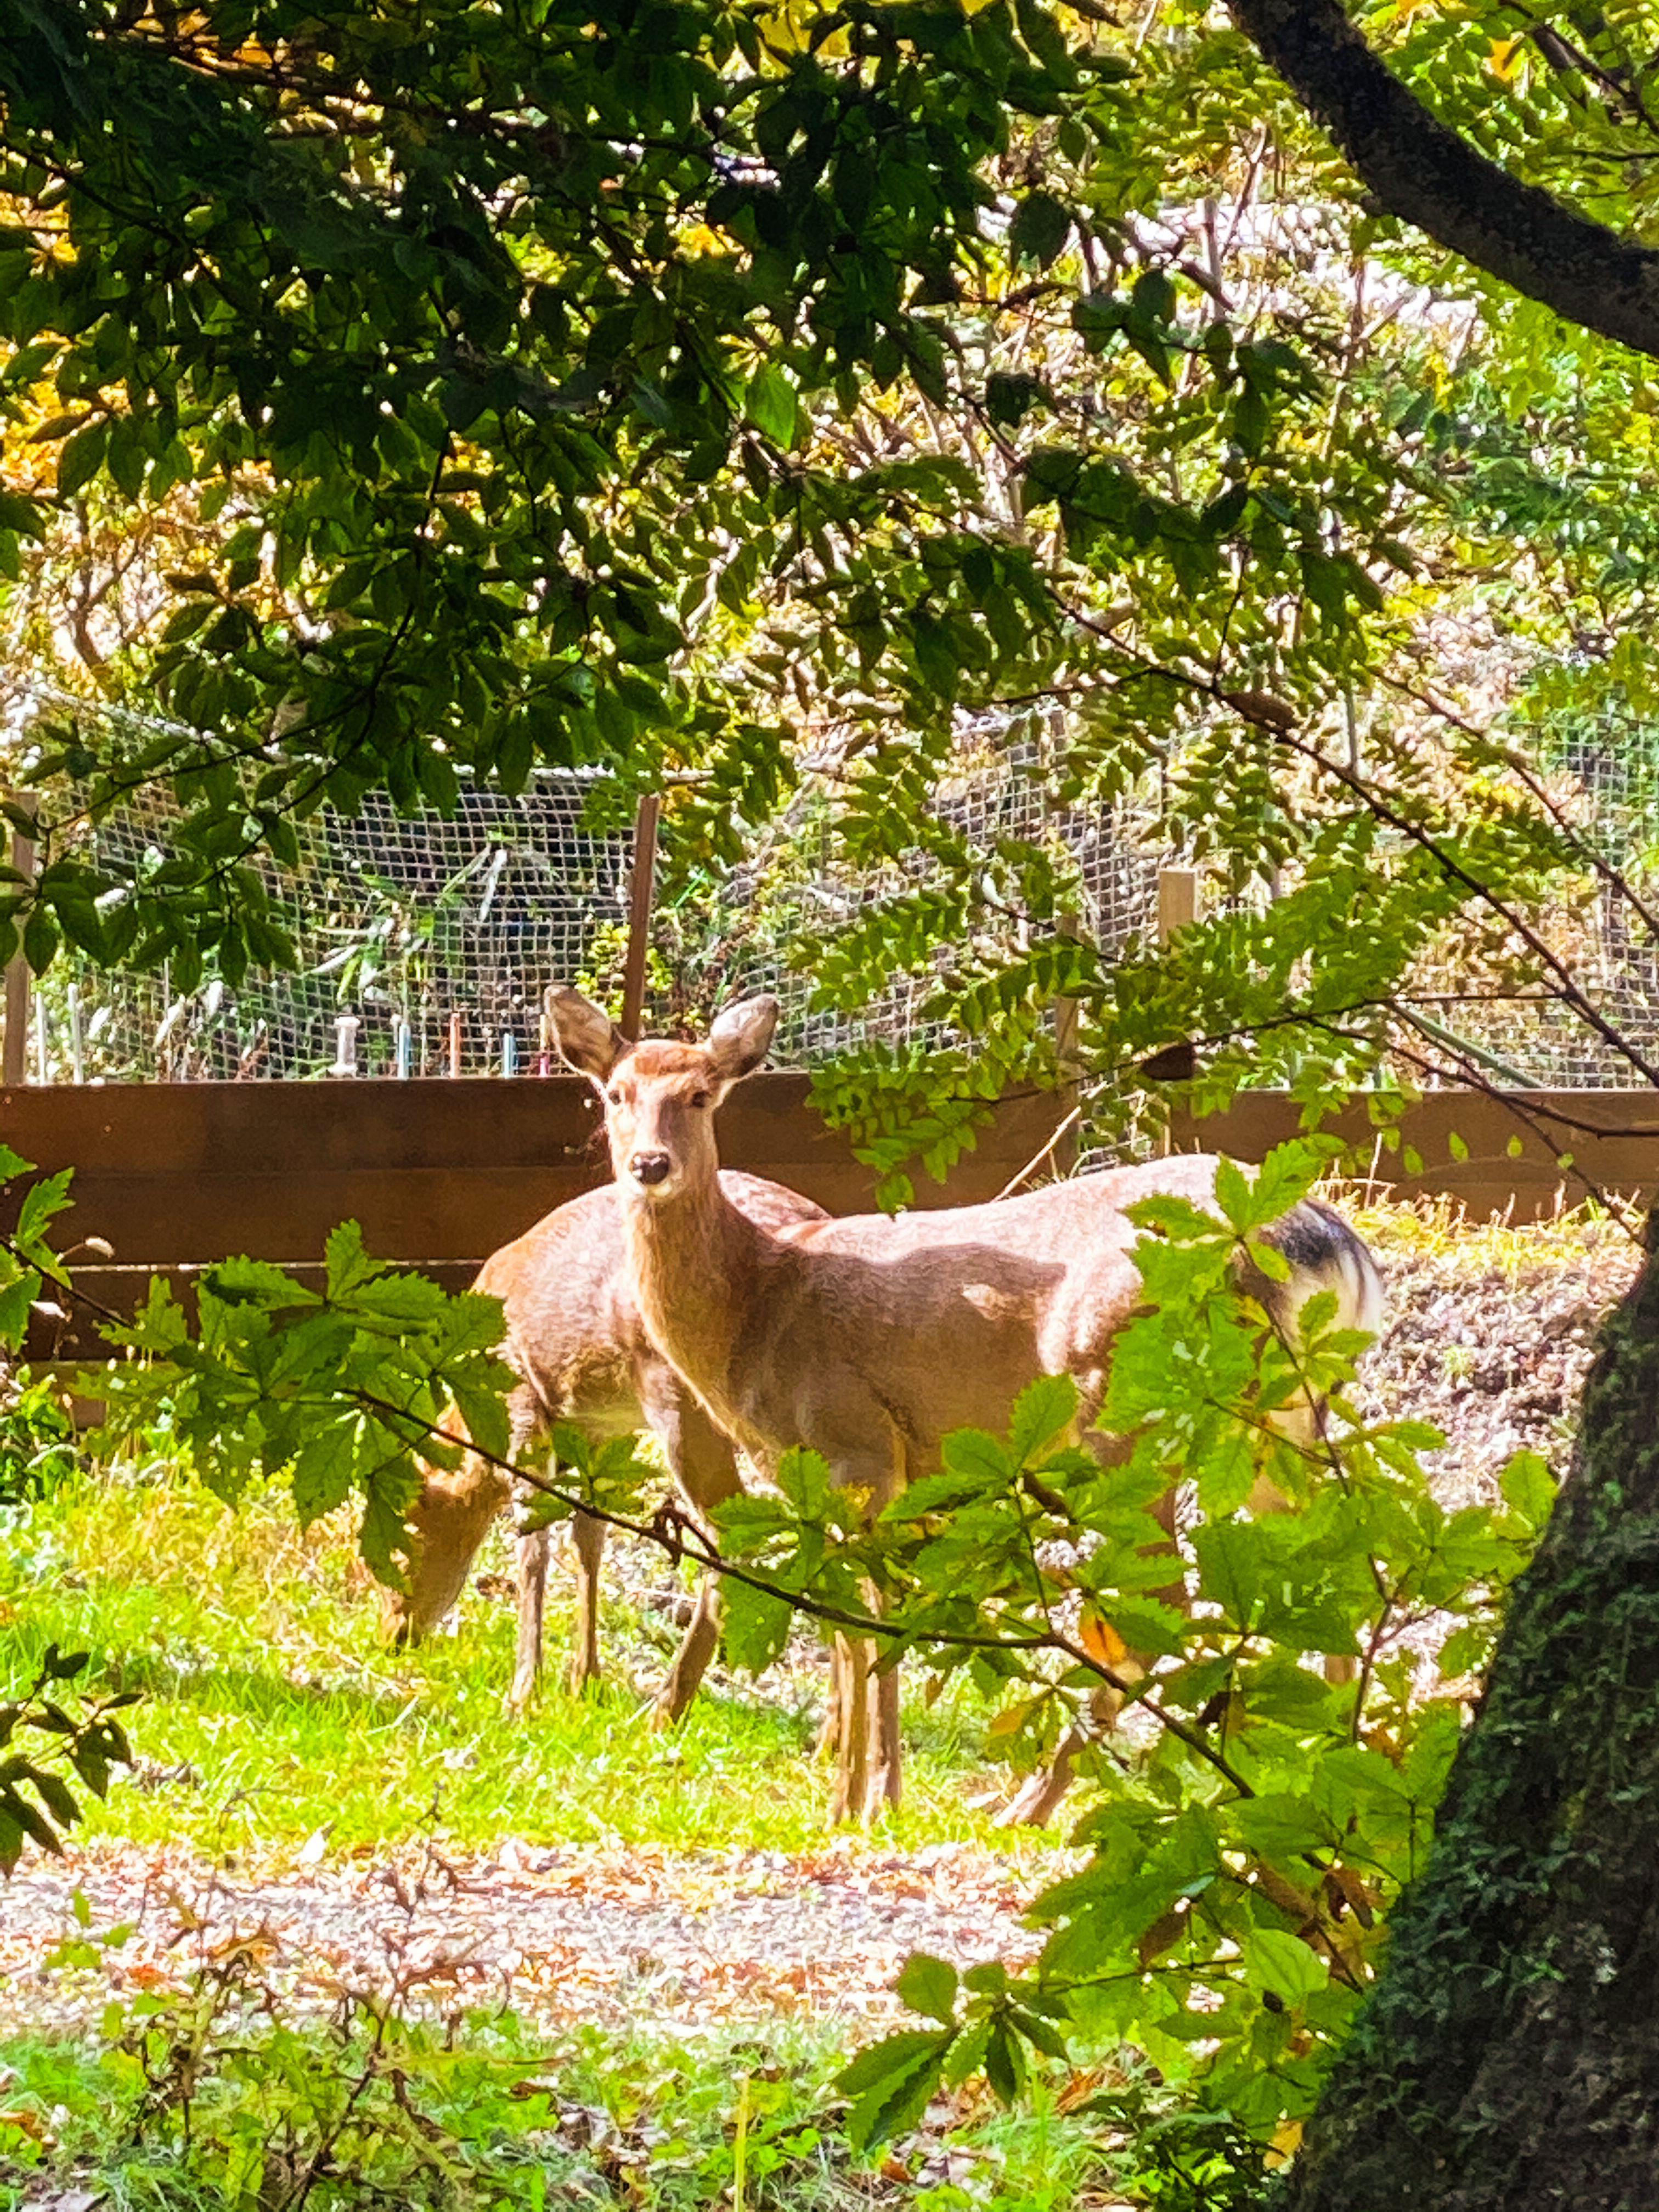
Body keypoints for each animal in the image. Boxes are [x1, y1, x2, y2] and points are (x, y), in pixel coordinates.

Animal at [389, 1177, 832, 1707]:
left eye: (404, 1540)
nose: (394, 1634)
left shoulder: (521, 1398)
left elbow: (533, 1540)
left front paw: (525, 1692)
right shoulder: (601, 1429)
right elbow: (589, 1534)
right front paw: (584, 1681)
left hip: (681, 1398)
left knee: (728, 1536)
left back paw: (670, 1703)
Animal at [548, 995, 1389, 1822]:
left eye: (700, 1094)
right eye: (614, 1094)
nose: (649, 1165)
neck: (755, 1308)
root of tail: (1328, 1242)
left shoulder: (856, 1439)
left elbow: (867, 1617)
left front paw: (861, 1803)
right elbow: (862, 1617)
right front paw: (863, 1793)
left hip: (1138, 1409)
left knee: (1161, 1606)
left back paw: (1030, 1804)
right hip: (1283, 1425)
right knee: (1339, 1563)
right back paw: (1335, 1770)